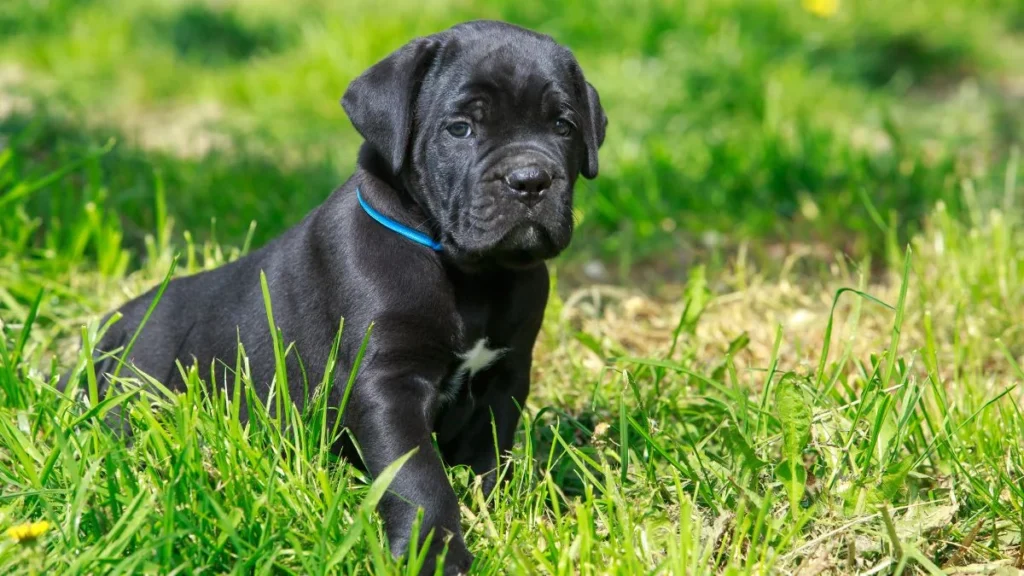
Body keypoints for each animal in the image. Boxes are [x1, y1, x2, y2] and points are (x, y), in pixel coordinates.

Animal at [75, 19, 602, 573]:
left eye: (563, 126)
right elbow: (418, 477)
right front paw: (435, 552)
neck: (471, 275)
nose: (531, 180)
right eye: (460, 128)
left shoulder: (505, 376)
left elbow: (489, 457)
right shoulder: (386, 385)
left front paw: (497, 517)